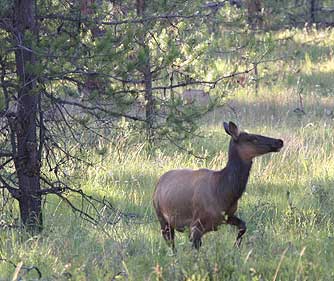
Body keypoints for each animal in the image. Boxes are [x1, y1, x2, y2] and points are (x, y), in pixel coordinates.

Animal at [153, 121, 284, 248]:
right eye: (253, 138)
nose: (279, 141)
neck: (224, 193)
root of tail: (158, 183)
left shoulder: (227, 216)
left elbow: (243, 226)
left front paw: (236, 246)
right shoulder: (196, 225)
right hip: (162, 218)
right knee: (171, 244)